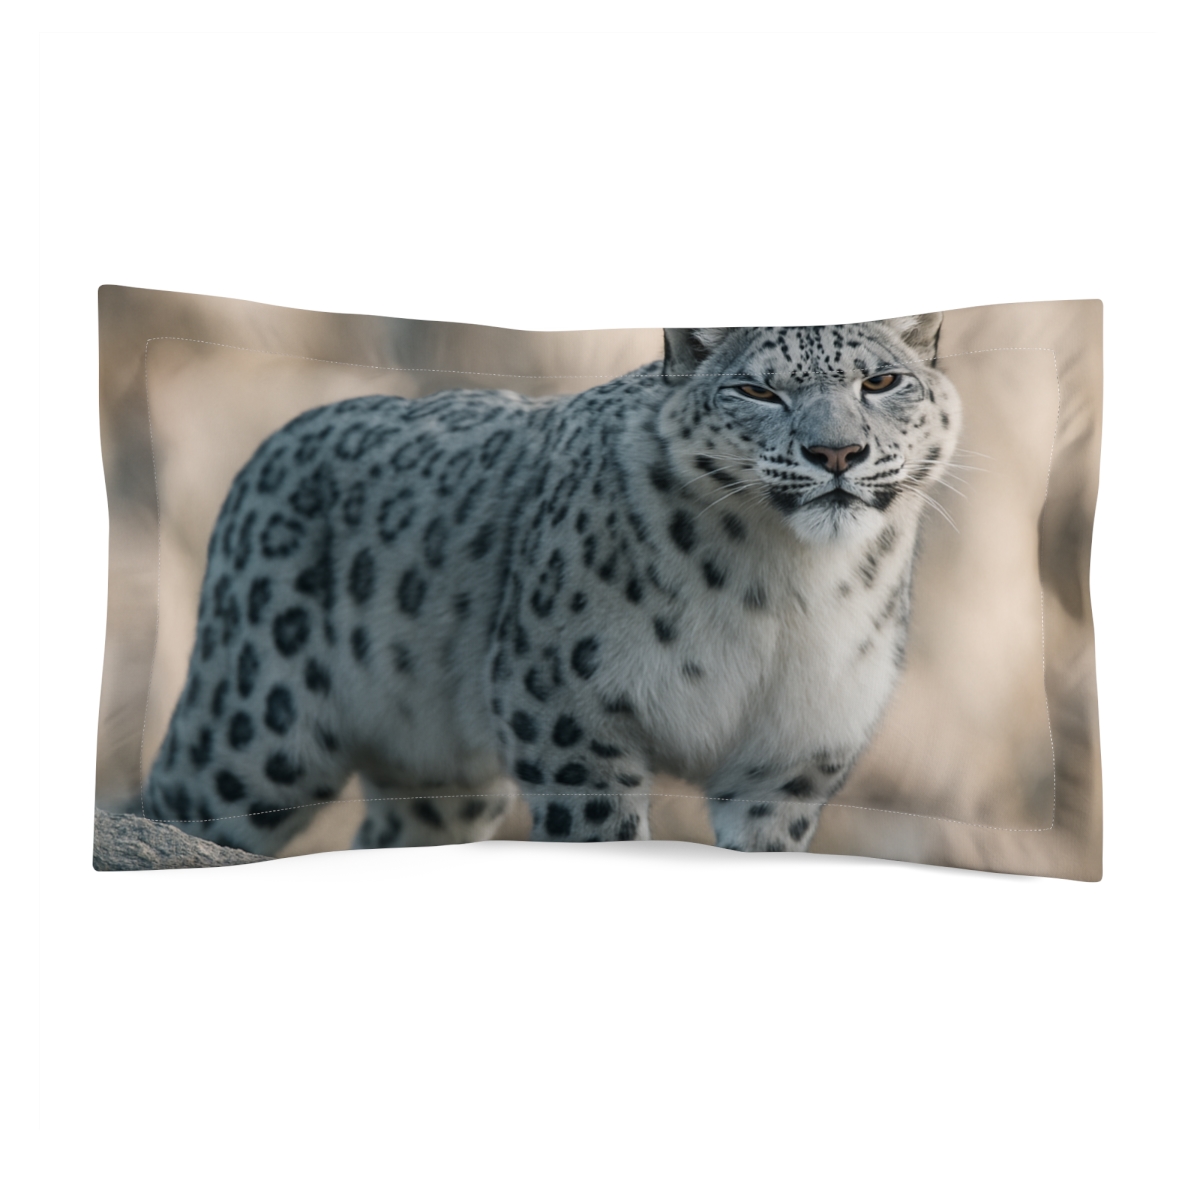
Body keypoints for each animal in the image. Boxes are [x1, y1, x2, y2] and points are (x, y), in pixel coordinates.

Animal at [141, 316, 961, 856]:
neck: (790, 593)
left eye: (881, 381)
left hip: (442, 778)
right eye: (757, 391)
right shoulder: (572, 721)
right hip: (253, 733)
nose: (837, 453)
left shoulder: (791, 757)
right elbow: (602, 830)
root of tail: (272, 443)